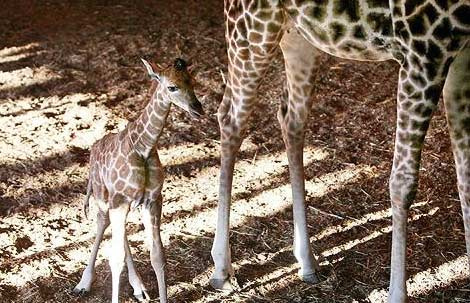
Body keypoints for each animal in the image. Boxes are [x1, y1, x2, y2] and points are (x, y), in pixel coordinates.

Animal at [72, 57, 203, 303]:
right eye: (172, 87)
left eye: (192, 81)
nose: (197, 109)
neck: (144, 147)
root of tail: (94, 148)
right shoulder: (119, 201)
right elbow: (115, 259)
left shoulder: (152, 200)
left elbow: (157, 256)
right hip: (103, 196)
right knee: (103, 224)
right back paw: (83, 284)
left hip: (123, 203)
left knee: (120, 235)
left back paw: (139, 287)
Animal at [211, 0, 468, 302]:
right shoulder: (423, 53)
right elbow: (402, 183)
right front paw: (396, 295)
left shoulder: (461, 57)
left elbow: (465, 178)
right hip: (251, 30)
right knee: (230, 118)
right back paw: (222, 269)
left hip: (298, 35)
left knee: (290, 119)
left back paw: (307, 262)